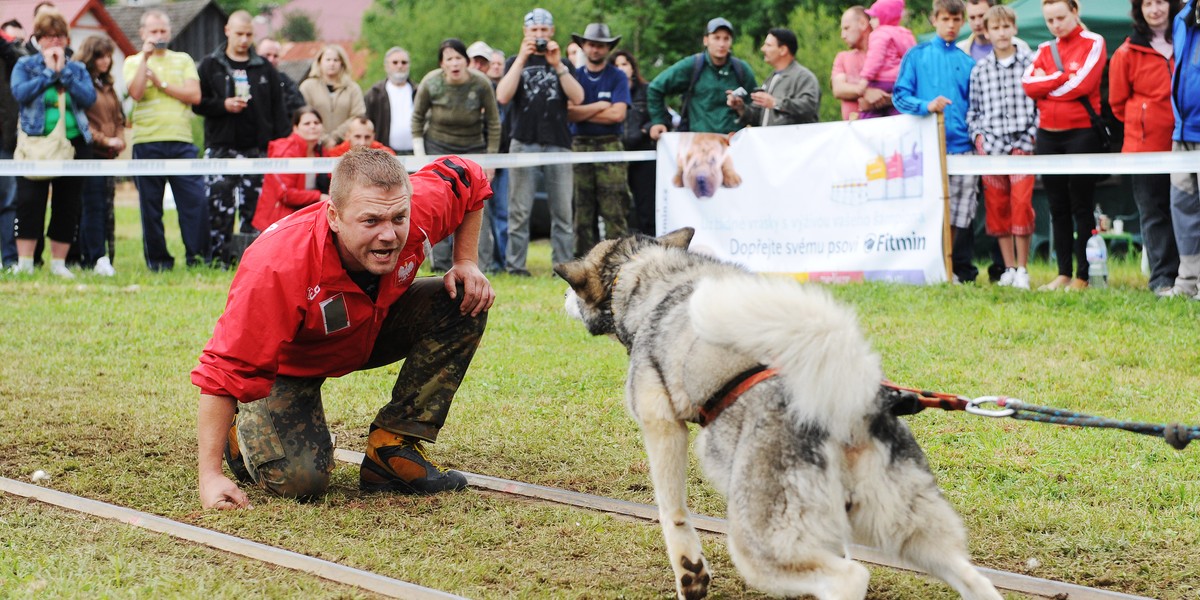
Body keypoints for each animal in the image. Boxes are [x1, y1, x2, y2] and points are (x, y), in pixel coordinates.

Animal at [552, 225, 1003, 600]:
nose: (561, 297)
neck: (649, 275)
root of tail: (846, 401)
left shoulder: (661, 424)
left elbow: (672, 513)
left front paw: (690, 576)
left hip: (757, 545)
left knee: (850, 578)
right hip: (909, 531)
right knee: (973, 579)